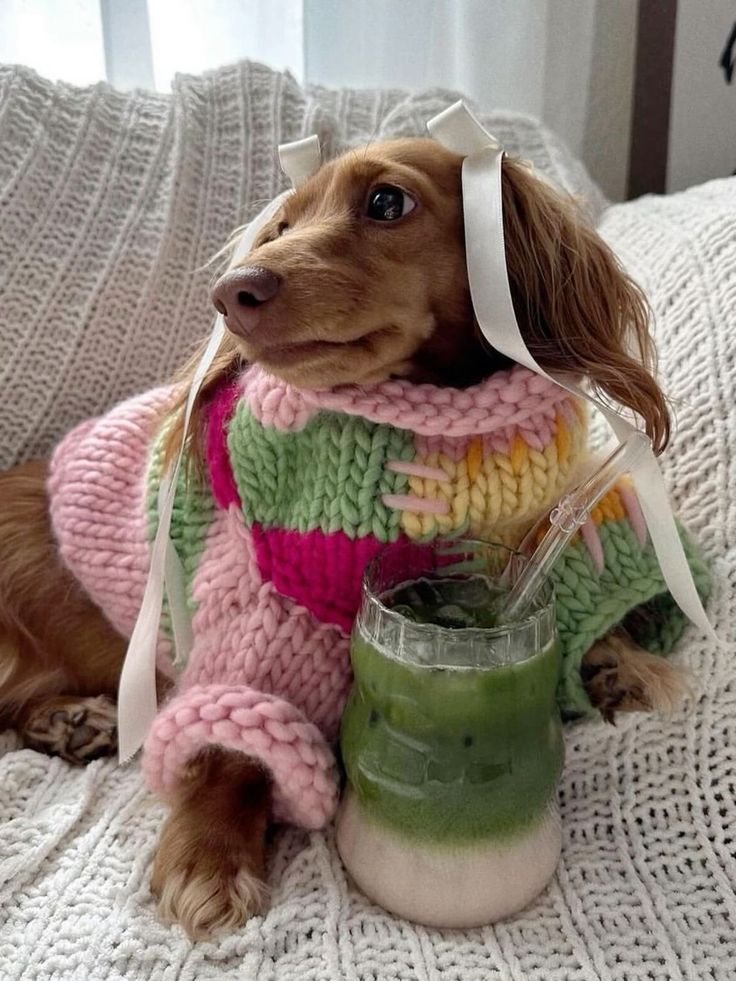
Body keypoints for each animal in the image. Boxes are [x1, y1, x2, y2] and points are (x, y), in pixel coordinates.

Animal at [0, 136, 684, 936]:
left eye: (387, 201)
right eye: (280, 225)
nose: (230, 293)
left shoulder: (528, 542)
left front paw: (621, 659)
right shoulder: (266, 610)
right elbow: (234, 739)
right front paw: (210, 850)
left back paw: (69, 721)